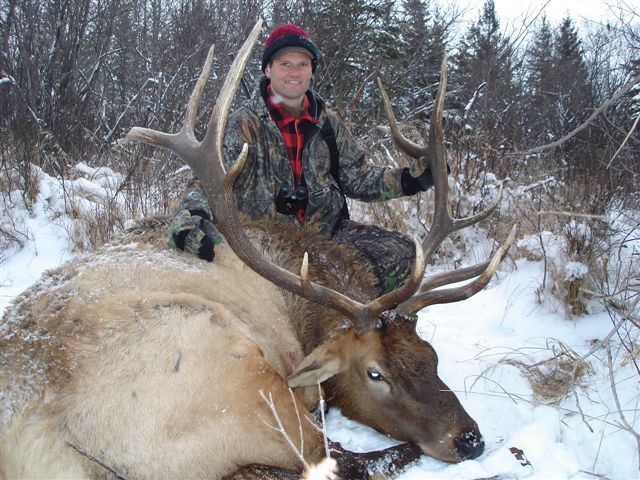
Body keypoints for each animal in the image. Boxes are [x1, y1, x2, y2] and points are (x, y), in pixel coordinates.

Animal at [0, 20, 516, 480]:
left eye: (432, 357)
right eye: (375, 374)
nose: (470, 439)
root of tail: (44, 447)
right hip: (240, 381)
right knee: (346, 460)